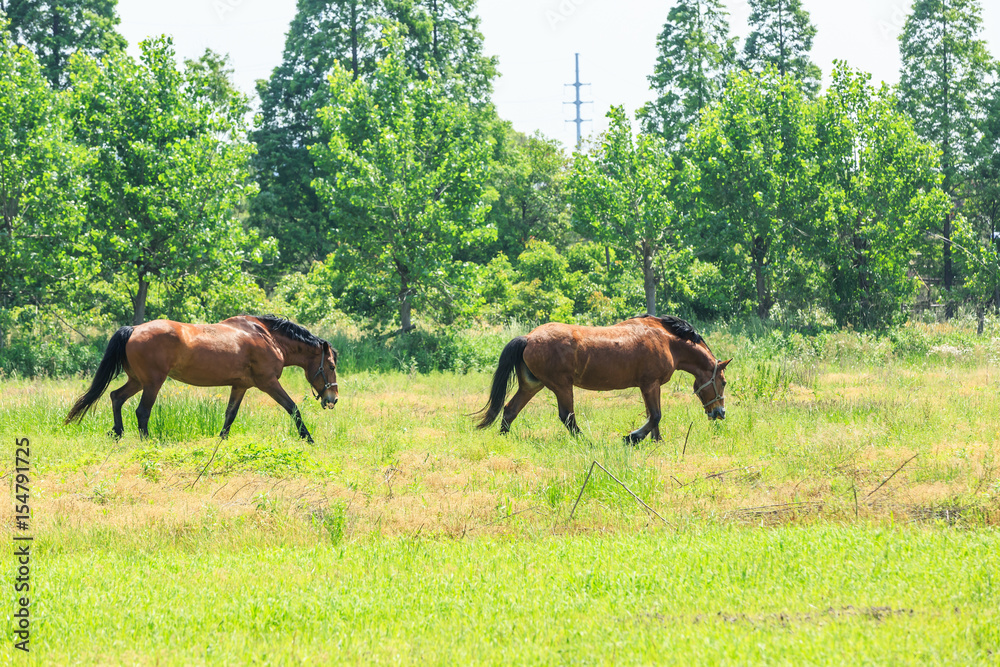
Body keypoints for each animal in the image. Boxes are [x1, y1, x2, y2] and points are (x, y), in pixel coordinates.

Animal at [67, 314, 340, 440]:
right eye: (331, 365)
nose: (333, 398)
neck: (267, 336)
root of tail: (133, 329)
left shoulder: (240, 386)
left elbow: (230, 415)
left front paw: (222, 439)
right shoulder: (269, 383)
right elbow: (293, 408)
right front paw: (308, 438)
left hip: (137, 381)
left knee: (116, 397)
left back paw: (118, 432)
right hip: (152, 383)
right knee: (142, 411)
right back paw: (146, 440)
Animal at [476, 318, 728, 444]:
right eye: (724, 382)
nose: (720, 413)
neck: (666, 340)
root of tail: (528, 338)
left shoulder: (647, 386)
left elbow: (652, 416)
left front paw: (657, 442)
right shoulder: (650, 384)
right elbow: (655, 416)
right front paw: (632, 438)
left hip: (532, 385)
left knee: (510, 409)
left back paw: (503, 438)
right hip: (561, 386)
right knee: (567, 417)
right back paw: (587, 441)